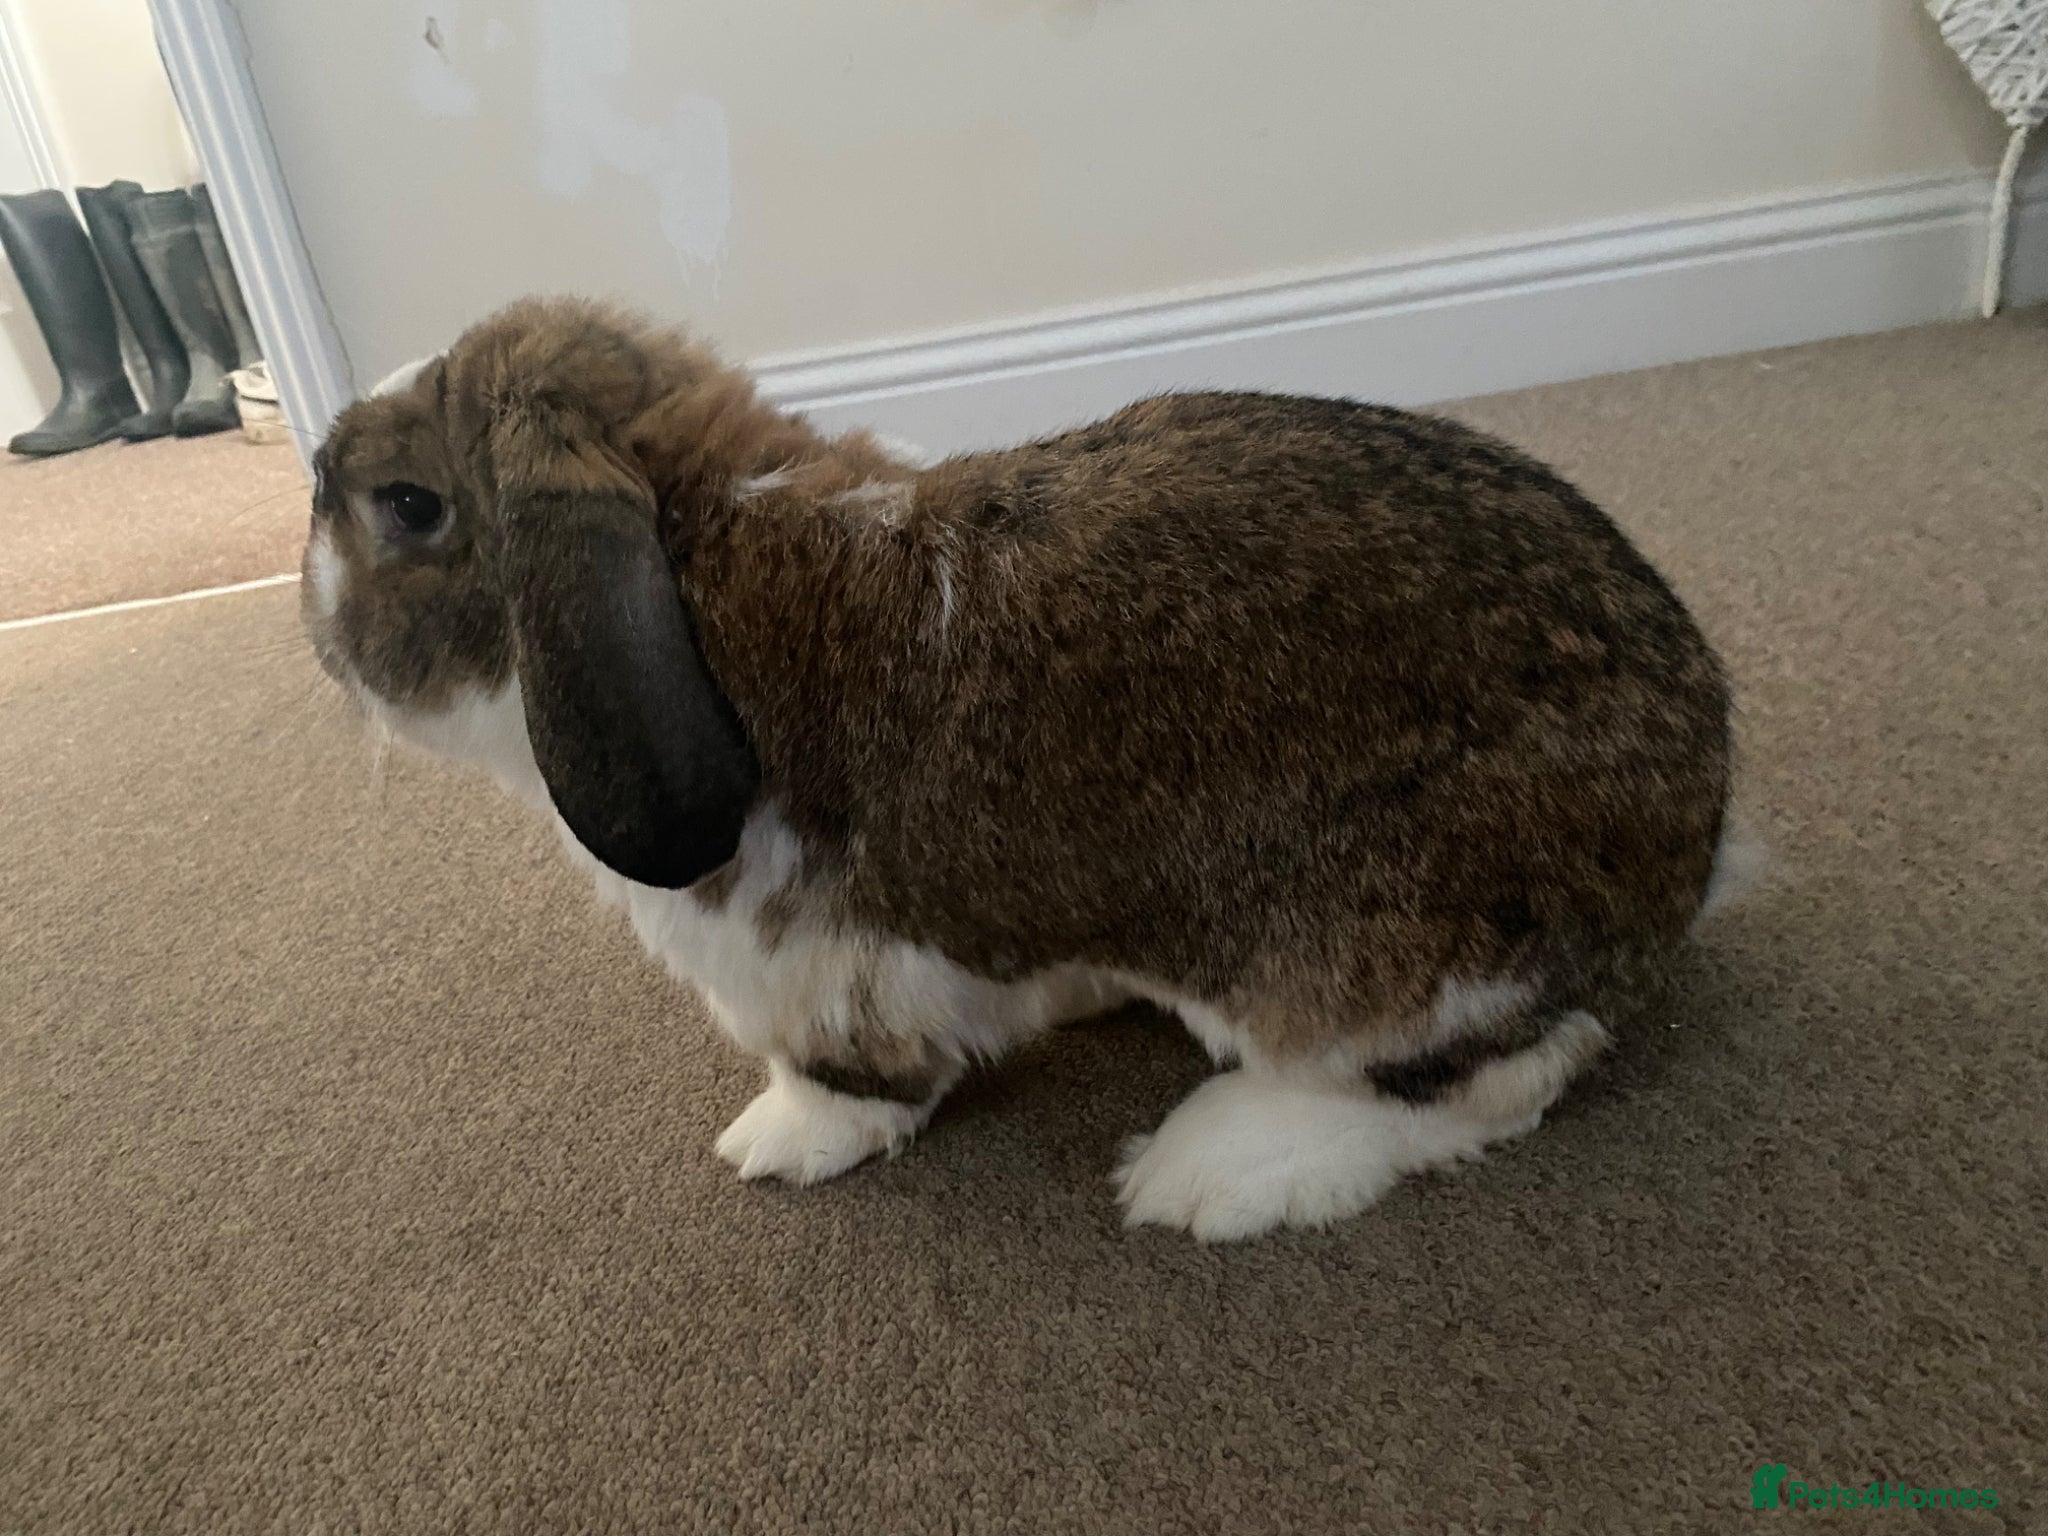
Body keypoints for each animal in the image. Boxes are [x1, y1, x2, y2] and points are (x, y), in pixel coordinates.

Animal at [303, 296, 1736, 1241]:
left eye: (408, 506)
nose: (311, 485)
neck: (704, 548)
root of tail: (1694, 837)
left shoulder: (805, 965)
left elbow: (846, 1073)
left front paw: (777, 1145)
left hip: (1363, 944)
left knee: (1492, 1075)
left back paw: (1217, 1171)